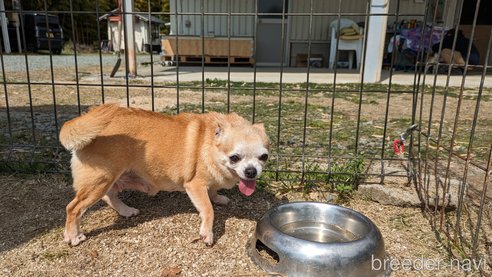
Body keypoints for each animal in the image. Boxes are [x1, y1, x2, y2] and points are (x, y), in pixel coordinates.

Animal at [61, 104, 270, 246]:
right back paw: (73, 236)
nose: (251, 171)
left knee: (109, 196)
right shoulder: (194, 185)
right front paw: (207, 233)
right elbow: (208, 209)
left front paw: (218, 197)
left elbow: (212, 192)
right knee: (74, 208)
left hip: (114, 179)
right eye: (235, 158)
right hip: (100, 181)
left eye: (264, 157)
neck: (209, 143)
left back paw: (126, 210)